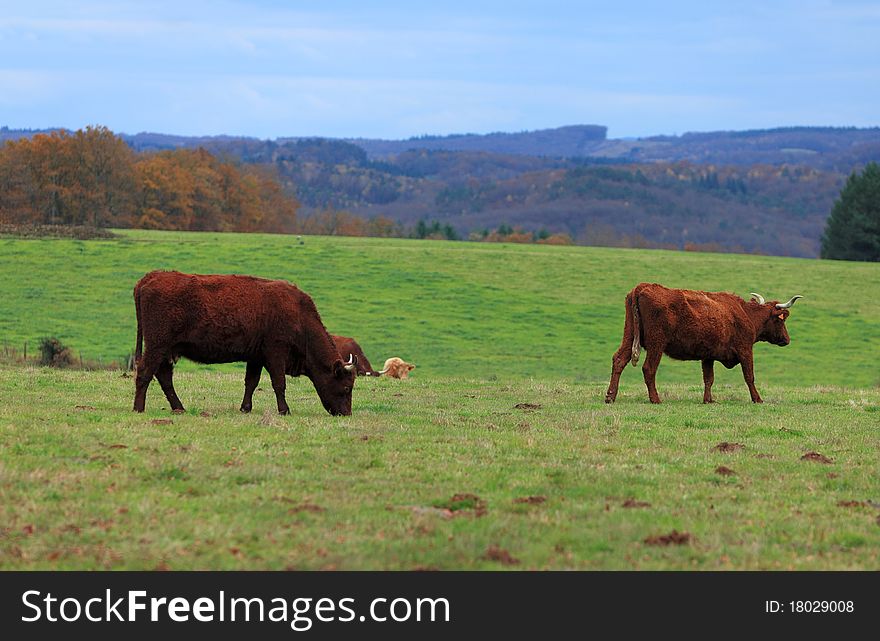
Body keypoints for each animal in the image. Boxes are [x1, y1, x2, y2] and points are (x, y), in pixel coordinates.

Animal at [131, 270, 358, 416]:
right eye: (347, 387)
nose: (346, 413)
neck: (299, 315)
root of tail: (150, 277)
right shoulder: (275, 353)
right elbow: (279, 383)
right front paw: (284, 410)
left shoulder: (256, 356)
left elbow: (251, 382)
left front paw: (245, 408)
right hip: (157, 346)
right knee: (145, 372)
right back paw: (138, 408)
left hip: (166, 350)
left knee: (163, 376)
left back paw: (179, 407)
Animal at [604, 282, 804, 402]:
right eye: (781, 319)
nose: (787, 340)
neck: (745, 313)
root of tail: (643, 286)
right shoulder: (745, 350)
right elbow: (749, 377)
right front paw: (758, 399)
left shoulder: (708, 356)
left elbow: (709, 378)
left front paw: (708, 400)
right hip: (656, 344)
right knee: (648, 369)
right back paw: (655, 399)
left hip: (629, 337)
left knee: (619, 360)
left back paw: (610, 396)